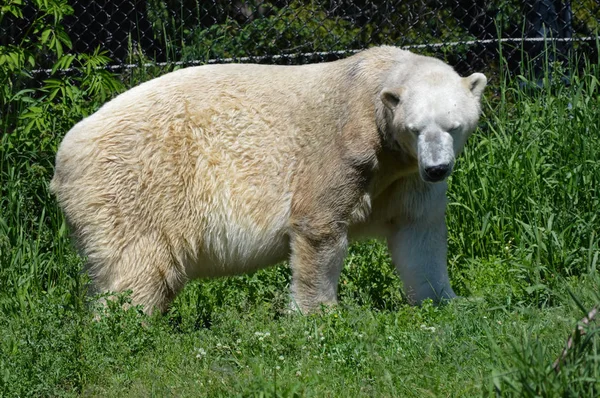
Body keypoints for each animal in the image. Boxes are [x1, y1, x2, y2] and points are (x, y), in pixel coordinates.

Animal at [51, 45, 488, 314]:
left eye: (454, 126)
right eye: (415, 128)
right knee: (139, 266)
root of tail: (64, 157)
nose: (437, 168)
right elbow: (318, 226)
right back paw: (125, 324)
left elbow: (419, 233)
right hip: (137, 185)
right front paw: (320, 313)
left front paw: (448, 301)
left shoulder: (405, 175)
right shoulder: (345, 149)